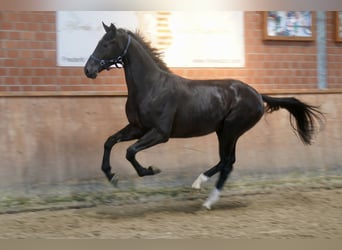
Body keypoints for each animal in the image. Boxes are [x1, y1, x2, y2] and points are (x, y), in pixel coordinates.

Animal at [84, 22, 324, 209]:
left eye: (105, 44)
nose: (88, 70)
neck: (151, 86)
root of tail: (257, 94)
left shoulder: (160, 133)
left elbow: (130, 152)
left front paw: (150, 170)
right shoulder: (137, 127)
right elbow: (110, 142)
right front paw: (110, 175)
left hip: (231, 130)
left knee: (227, 162)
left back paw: (206, 198)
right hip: (224, 131)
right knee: (228, 161)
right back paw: (201, 186)